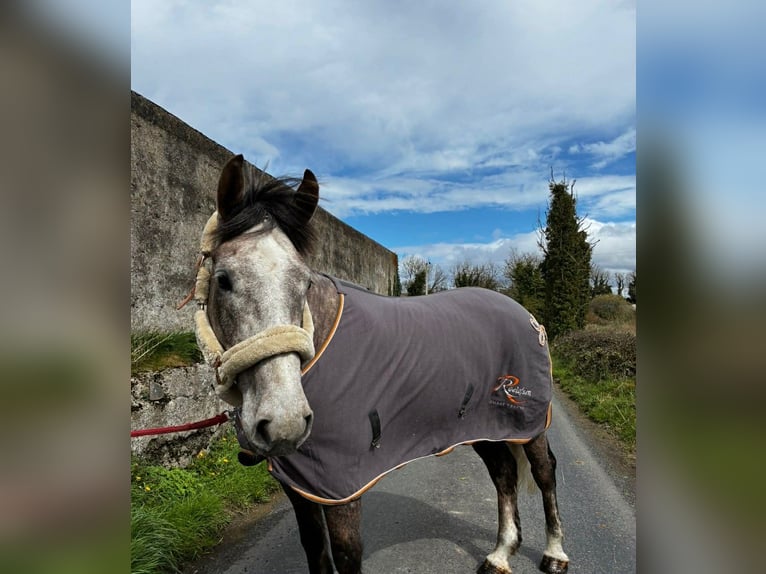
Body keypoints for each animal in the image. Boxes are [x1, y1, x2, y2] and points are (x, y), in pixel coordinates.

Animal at [191, 153, 569, 574]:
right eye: (223, 280)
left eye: (305, 283)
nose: (285, 422)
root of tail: (527, 315)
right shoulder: (299, 484)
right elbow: (316, 550)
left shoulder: (341, 486)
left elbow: (346, 553)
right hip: (483, 424)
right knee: (503, 473)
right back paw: (500, 554)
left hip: (528, 423)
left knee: (545, 472)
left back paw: (555, 554)